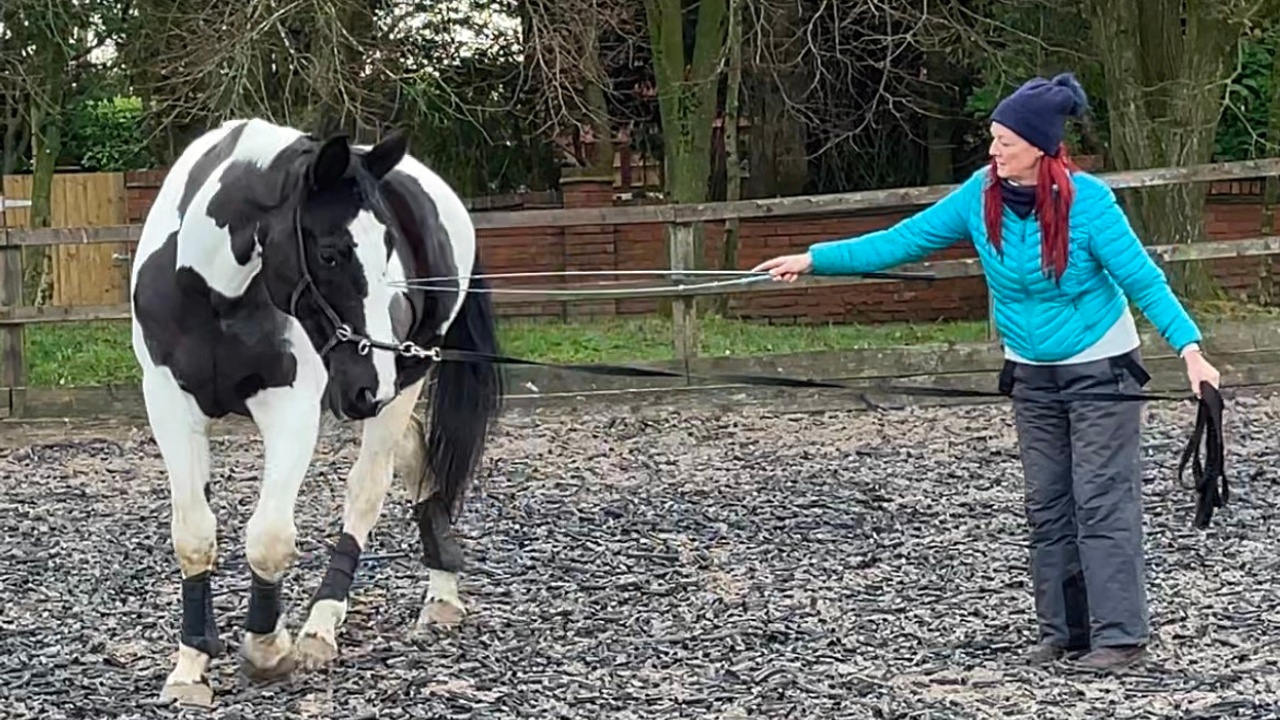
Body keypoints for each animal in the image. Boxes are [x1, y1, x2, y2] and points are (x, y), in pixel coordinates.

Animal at [128, 117, 505, 705]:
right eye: (329, 253)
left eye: (387, 247)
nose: (370, 381)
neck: (212, 293)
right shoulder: (169, 404)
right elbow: (194, 536)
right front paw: (191, 666)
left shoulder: (291, 410)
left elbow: (268, 537)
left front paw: (267, 648)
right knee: (416, 456)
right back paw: (442, 593)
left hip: (408, 380)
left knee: (369, 488)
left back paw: (322, 625)